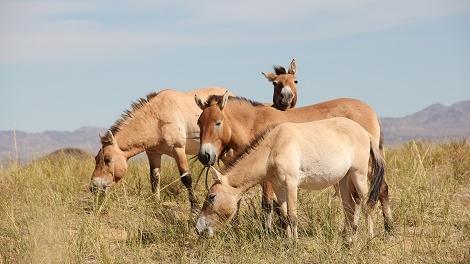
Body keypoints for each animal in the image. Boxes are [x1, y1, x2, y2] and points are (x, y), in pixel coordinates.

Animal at [89, 87, 232, 210]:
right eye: (96, 159)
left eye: (108, 159)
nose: (93, 187)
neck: (156, 118)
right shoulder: (153, 154)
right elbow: (154, 178)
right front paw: (156, 203)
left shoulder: (178, 150)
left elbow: (186, 178)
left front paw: (195, 208)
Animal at [194, 92, 392, 231]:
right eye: (199, 123)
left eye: (218, 122)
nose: (205, 156)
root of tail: (371, 113)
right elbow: (277, 208)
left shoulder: (271, 181)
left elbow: (268, 205)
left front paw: (268, 233)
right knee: (357, 200)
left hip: (364, 170)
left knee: (378, 191)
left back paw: (386, 230)